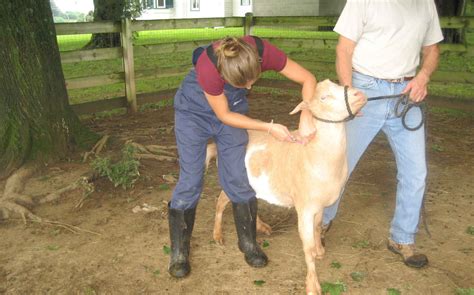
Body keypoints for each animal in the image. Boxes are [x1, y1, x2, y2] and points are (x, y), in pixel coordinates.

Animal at [206, 80, 366, 294]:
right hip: (232, 177)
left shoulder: (319, 205)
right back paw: (217, 235)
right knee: (221, 201)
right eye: (323, 97)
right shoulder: (305, 207)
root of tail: (217, 145)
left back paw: (261, 226)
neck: (315, 152)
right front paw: (312, 285)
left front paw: (320, 251)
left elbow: (317, 228)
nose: (359, 95)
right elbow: (307, 246)